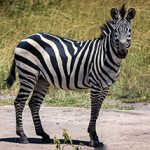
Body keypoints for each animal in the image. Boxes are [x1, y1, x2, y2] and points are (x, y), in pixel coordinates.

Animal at [4, 4, 136, 148]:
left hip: (42, 79)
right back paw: (22, 135)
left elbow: (97, 111)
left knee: (34, 103)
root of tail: (25, 38)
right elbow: (94, 109)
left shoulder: (106, 87)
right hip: (28, 74)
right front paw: (93, 138)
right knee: (19, 102)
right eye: (115, 31)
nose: (122, 52)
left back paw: (43, 134)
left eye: (129, 31)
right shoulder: (95, 85)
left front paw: (93, 135)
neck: (105, 54)